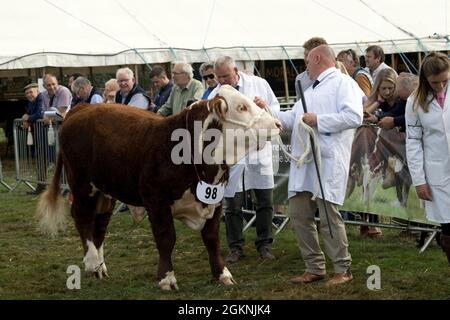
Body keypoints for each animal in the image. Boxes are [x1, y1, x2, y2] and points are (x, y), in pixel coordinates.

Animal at [36, 85, 282, 290]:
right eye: (242, 107)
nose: (278, 124)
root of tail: (82, 107)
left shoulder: (215, 201)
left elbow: (212, 239)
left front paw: (222, 274)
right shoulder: (156, 202)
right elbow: (166, 239)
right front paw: (166, 278)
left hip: (105, 192)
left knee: (100, 224)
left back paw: (100, 266)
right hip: (82, 185)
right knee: (82, 218)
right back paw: (91, 262)